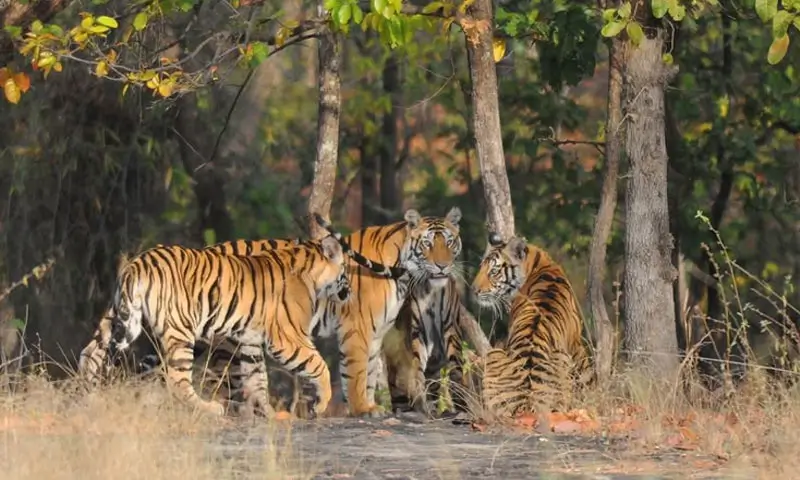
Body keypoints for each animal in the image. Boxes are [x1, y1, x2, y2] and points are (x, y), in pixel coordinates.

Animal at [471, 232, 594, 418]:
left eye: (493, 271)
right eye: (481, 267)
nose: (474, 290)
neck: (539, 263)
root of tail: (527, 403)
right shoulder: (575, 343)